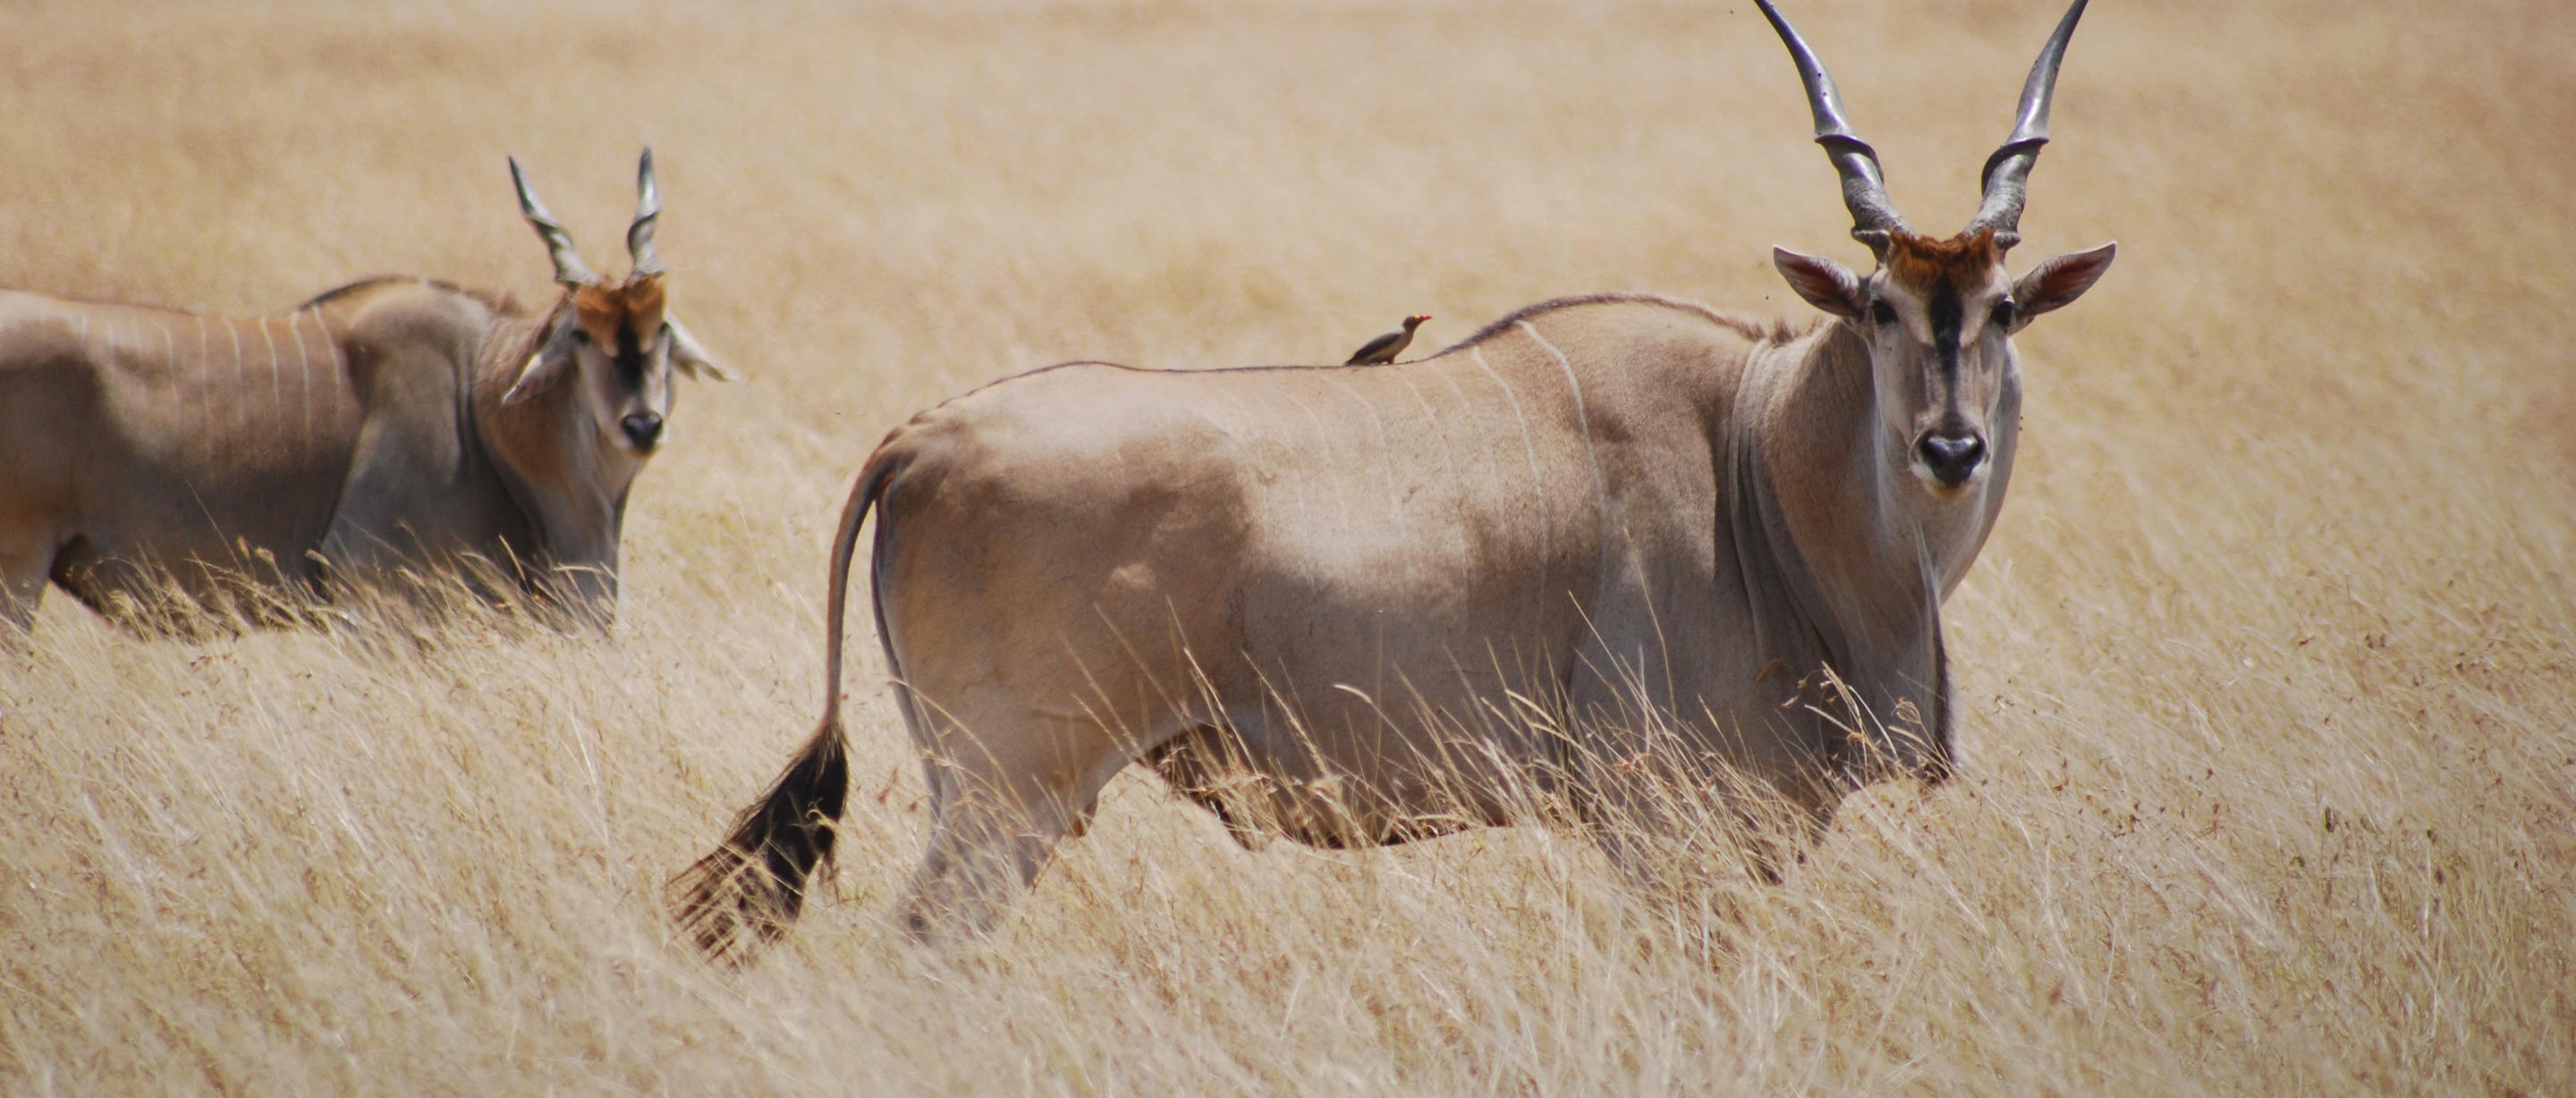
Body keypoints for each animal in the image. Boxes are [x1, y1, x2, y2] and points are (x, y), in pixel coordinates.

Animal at [0, 149, 731, 638]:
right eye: (581, 333)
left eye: (662, 327)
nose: (642, 426)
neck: (482, 402)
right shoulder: (375, 603)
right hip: (18, 572)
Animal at [674, 0, 2123, 959]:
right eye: (1880, 308)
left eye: (2004, 311)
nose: (1950, 450)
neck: (1755, 458)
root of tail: (925, 434)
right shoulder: (1663, 823)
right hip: (1007, 797)